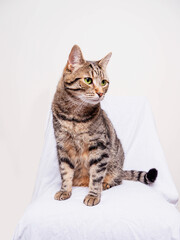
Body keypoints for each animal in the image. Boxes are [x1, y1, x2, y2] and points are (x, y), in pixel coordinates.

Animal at [51, 45, 158, 206]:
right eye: (88, 80)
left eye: (103, 82)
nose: (101, 93)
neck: (75, 115)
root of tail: (121, 169)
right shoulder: (63, 146)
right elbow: (65, 172)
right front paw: (65, 190)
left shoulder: (99, 147)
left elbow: (96, 176)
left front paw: (93, 195)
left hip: (115, 162)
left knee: (117, 179)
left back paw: (106, 183)